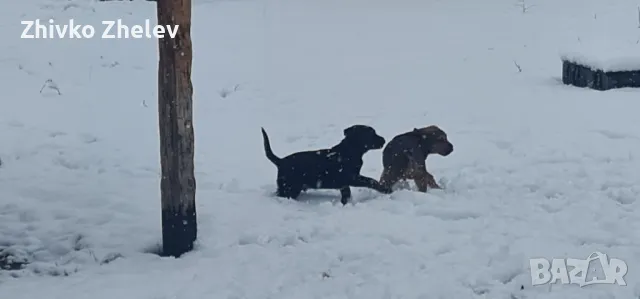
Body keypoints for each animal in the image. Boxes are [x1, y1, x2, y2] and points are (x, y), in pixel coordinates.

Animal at [258, 125, 390, 206]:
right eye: (372, 134)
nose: (383, 140)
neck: (349, 150)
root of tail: (280, 161)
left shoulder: (345, 183)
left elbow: (346, 193)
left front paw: (345, 203)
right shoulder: (352, 177)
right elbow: (370, 180)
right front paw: (384, 189)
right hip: (290, 188)